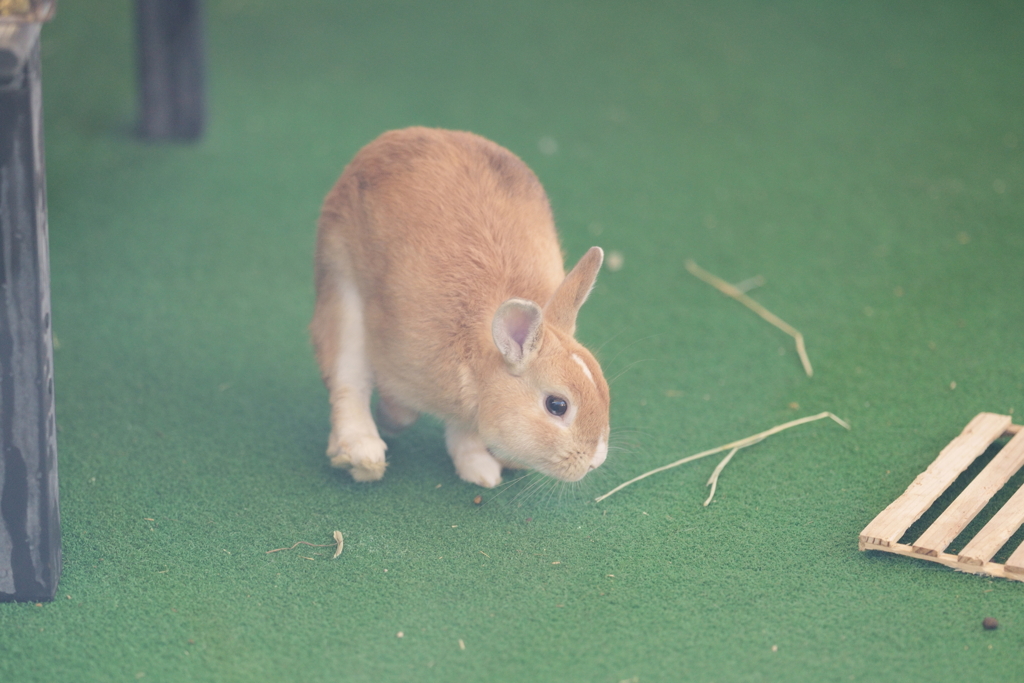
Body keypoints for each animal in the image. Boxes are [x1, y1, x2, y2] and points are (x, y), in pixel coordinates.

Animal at [309, 127, 606, 489]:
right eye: (557, 405)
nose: (595, 461)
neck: (479, 357)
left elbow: (464, 432)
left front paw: (480, 471)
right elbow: (403, 411)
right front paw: (388, 423)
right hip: (340, 279)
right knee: (347, 377)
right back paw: (363, 454)